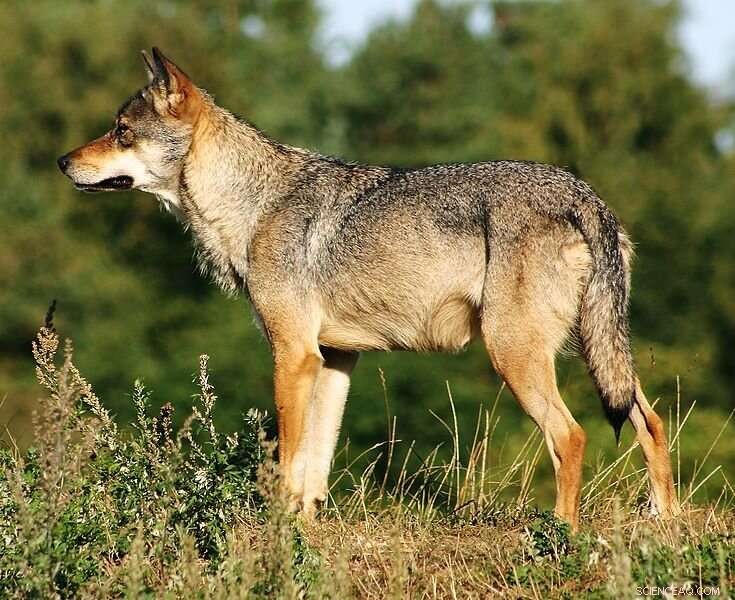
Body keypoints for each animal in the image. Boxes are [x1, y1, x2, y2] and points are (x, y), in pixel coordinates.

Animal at [57, 48, 679, 529]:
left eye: (121, 132)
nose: (62, 161)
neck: (251, 204)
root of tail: (585, 196)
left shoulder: (294, 356)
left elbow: (289, 458)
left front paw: (277, 532)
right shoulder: (335, 360)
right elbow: (315, 465)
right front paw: (305, 531)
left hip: (515, 356)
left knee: (571, 437)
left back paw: (561, 534)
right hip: (596, 353)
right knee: (650, 421)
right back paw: (666, 523)